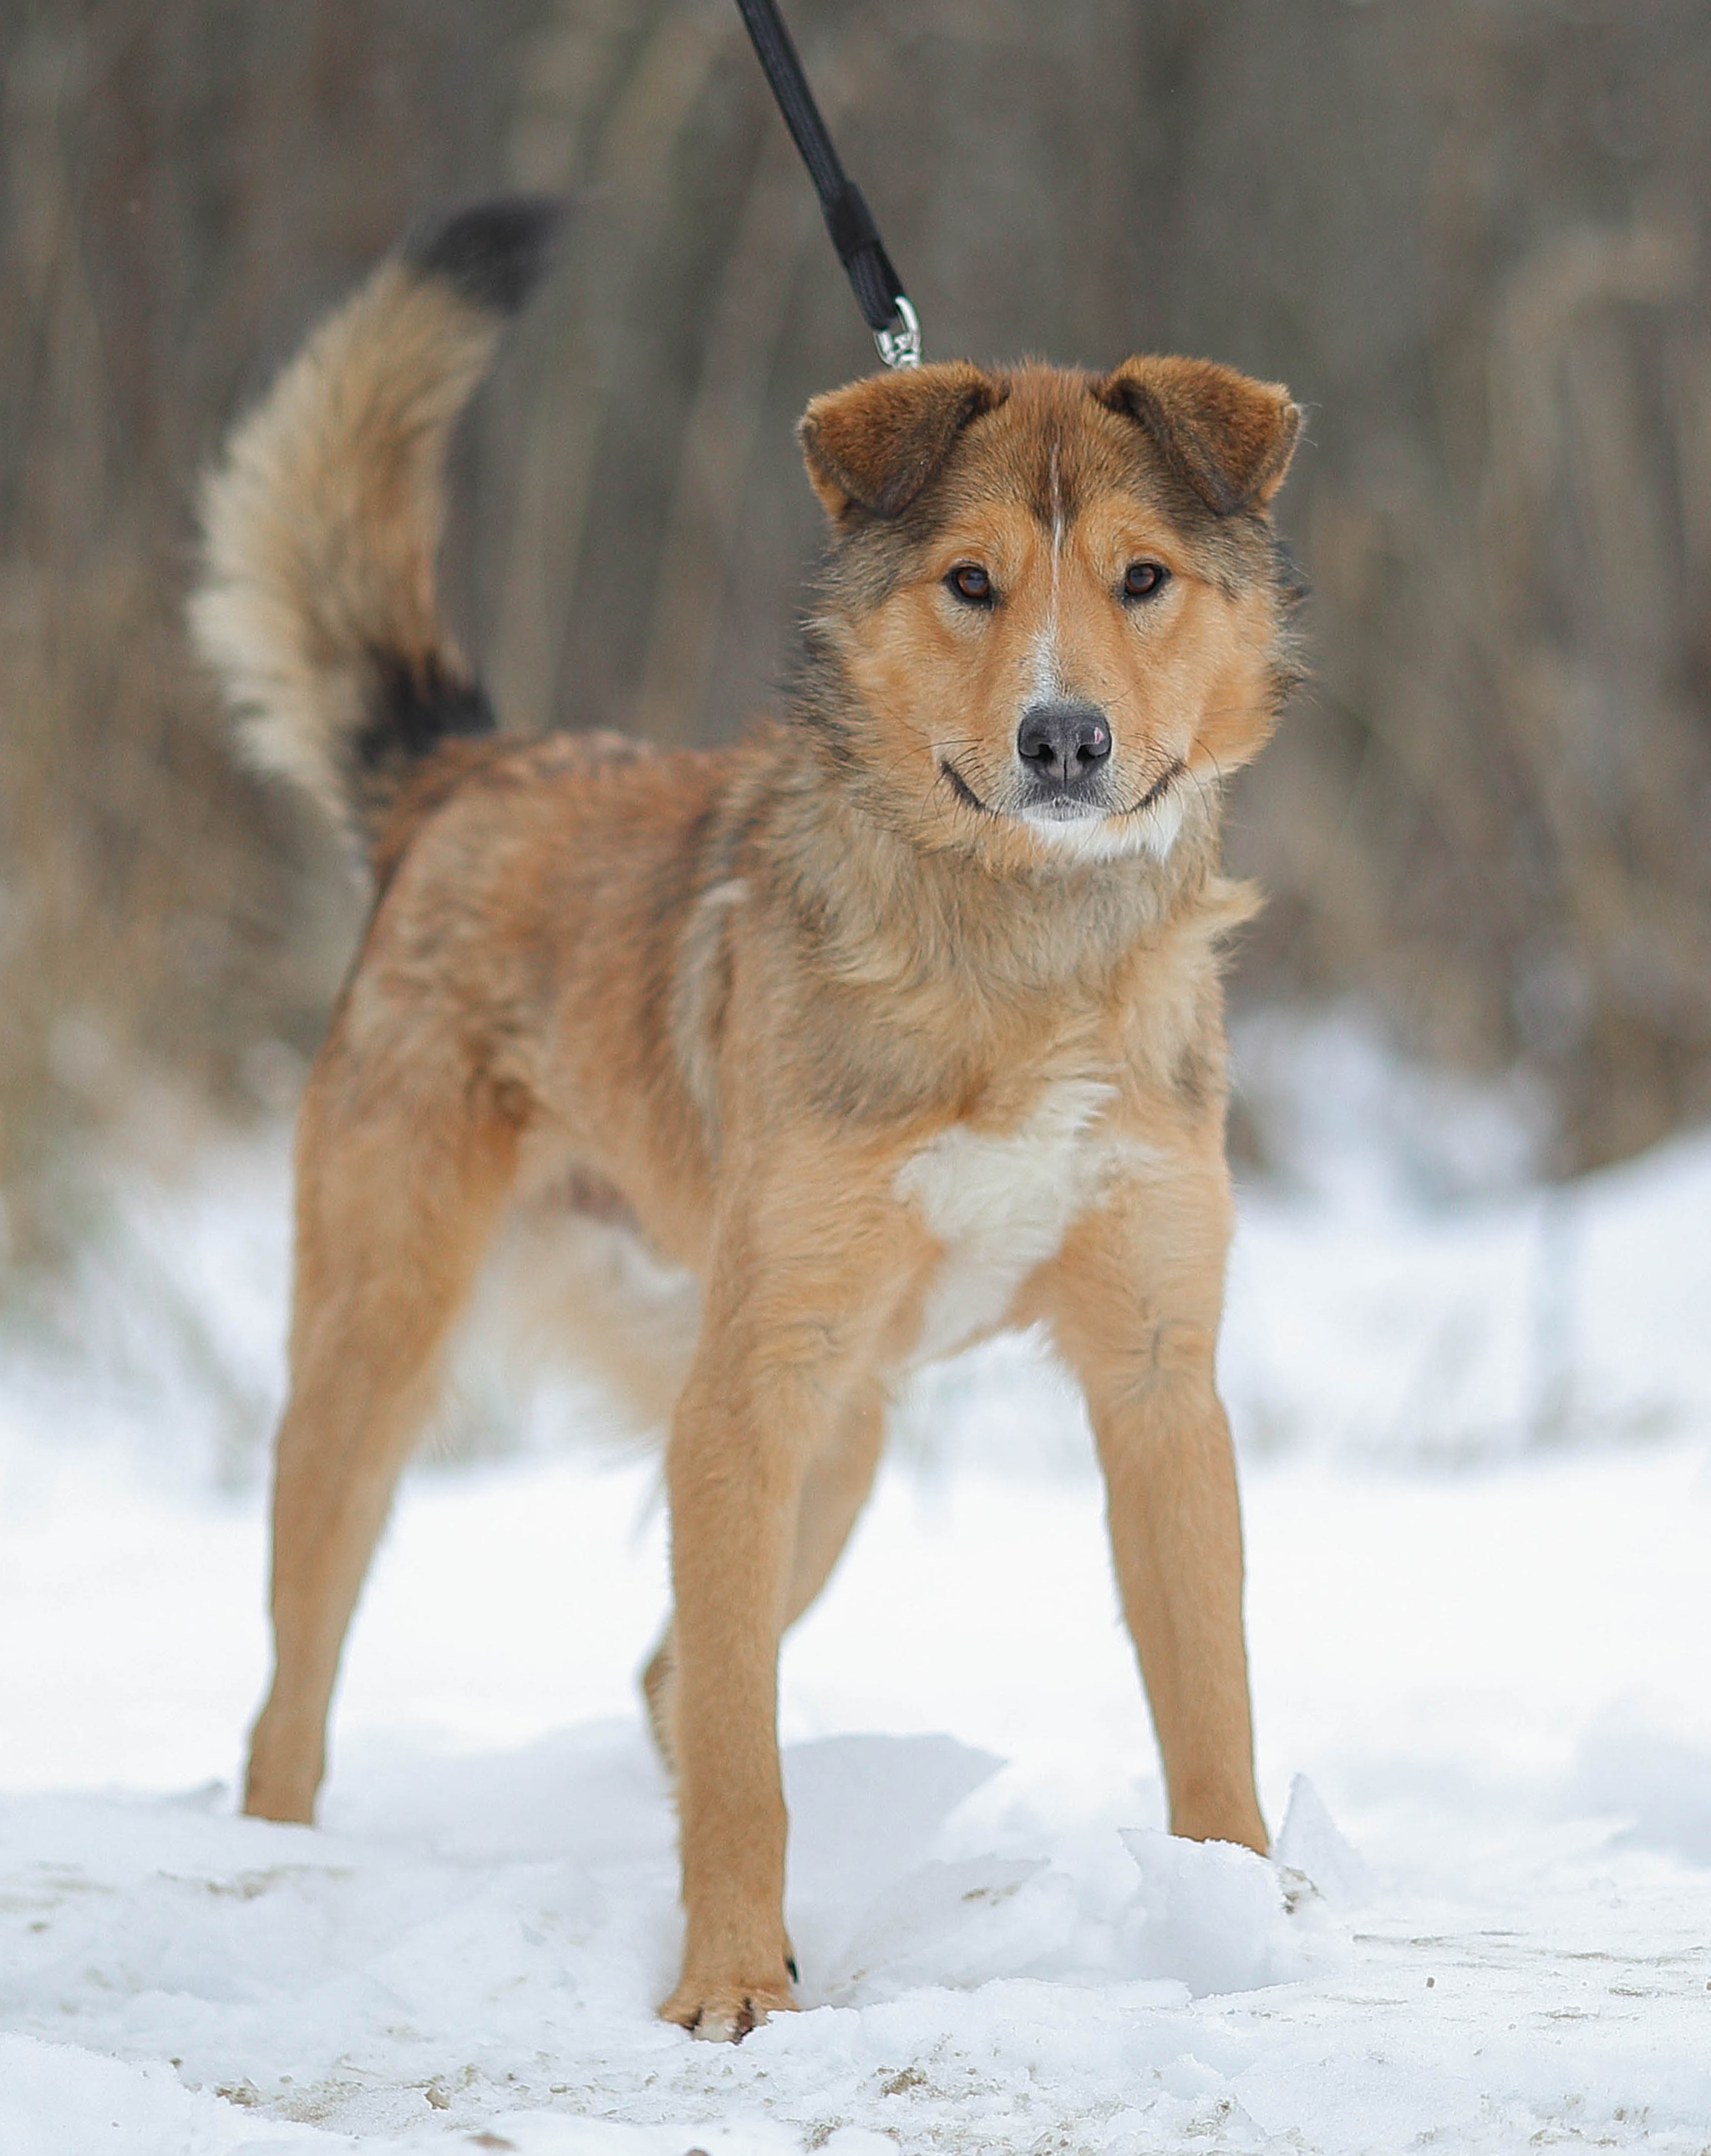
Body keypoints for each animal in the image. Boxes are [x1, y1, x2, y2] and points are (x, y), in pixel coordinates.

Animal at [193, 198, 1302, 2035]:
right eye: (970, 582)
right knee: (301, 1692)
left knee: (666, 1672)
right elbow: (737, 1754)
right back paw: (274, 1875)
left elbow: (1209, 1705)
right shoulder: (745, 1397)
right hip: (385, 1355)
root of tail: (471, 775)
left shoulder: (1157, 1380)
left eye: (1141, 579)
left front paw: (1236, 1929)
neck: (1015, 953)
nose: (1062, 737)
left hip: (839, 1439)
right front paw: (726, 1984)